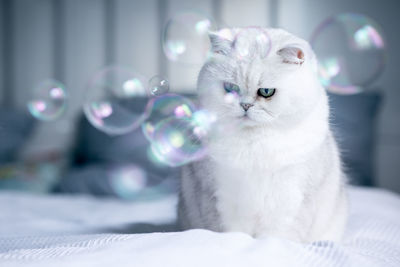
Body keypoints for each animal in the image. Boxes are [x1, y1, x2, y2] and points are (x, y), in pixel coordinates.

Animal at [177, 26, 346, 243]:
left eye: (266, 91)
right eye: (231, 88)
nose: (245, 106)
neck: (255, 141)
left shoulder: (293, 199)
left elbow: (277, 238)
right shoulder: (218, 196)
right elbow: (232, 234)